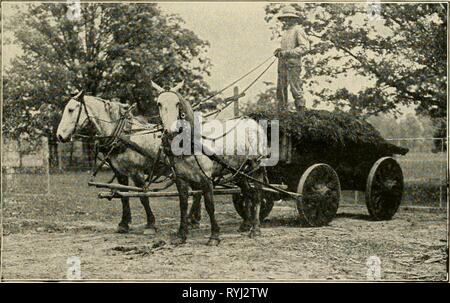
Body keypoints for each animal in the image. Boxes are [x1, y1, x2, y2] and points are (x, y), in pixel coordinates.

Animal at [56, 92, 202, 235]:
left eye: (70, 110)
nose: (59, 136)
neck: (123, 135)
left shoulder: (136, 172)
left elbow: (143, 197)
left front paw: (150, 224)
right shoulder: (120, 172)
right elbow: (123, 196)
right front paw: (124, 224)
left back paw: (191, 219)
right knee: (198, 191)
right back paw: (193, 219)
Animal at [153, 81, 268, 247]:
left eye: (177, 103)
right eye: (159, 103)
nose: (170, 131)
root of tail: (254, 122)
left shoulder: (206, 179)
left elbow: (209, 205)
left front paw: (214, 236)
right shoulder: (181, 179)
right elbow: (183, 205)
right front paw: (181, 235)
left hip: (256, 168)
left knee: (257, 195)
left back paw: (256, 229)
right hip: (238, 171)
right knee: (247, 192)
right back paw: (246, 224)